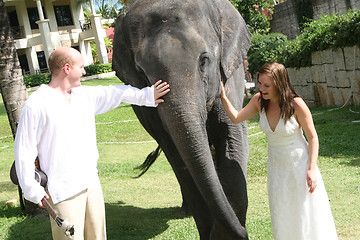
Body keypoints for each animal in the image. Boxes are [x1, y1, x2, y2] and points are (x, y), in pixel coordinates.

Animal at [112, 0, 250, 239]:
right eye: (142, 73)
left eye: (204, 61)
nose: (243, 232)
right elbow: (178, 157)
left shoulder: (230, 76)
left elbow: (232, 138)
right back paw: (186, 211)